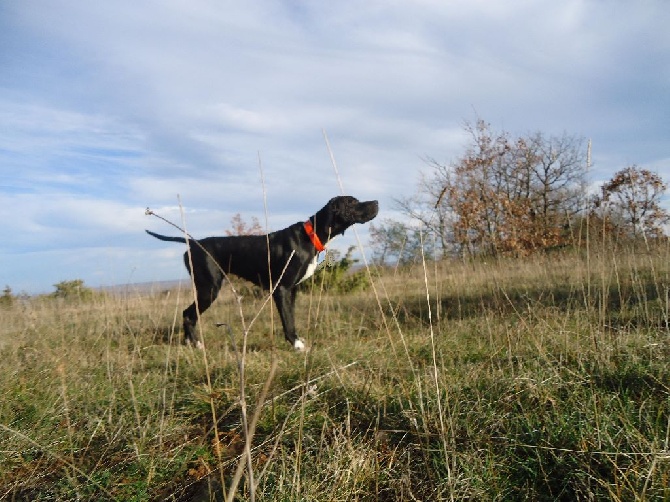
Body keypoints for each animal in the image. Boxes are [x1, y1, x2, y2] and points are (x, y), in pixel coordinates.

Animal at [146, 195, 378, 350]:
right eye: (353, 202)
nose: (376, 202)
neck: (310, 235)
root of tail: (193, 244)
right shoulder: (281, 289)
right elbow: (287, 320)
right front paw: (296, 344)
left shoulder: (292, 290)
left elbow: (291, 317)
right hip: (208, 289)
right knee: (188, 314)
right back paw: (195, 344)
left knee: (187, 314)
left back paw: (189, 342)